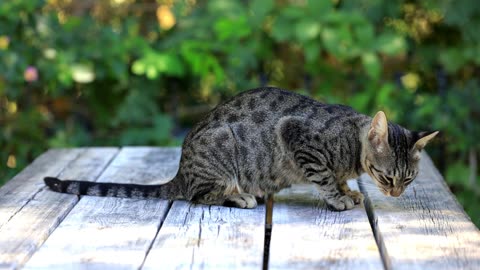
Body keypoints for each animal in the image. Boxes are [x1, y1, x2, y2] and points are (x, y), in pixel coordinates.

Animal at [45, 87, 438, 211]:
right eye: (385, 176)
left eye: (408, 179)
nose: (396, 193)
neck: (351, 144)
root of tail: (181, 171)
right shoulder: (298, 137)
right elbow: (325, 177)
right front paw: (339, 197)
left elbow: (336, 178)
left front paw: (348, 191)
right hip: (221, 152)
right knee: (200, 196)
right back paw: (240, 196)